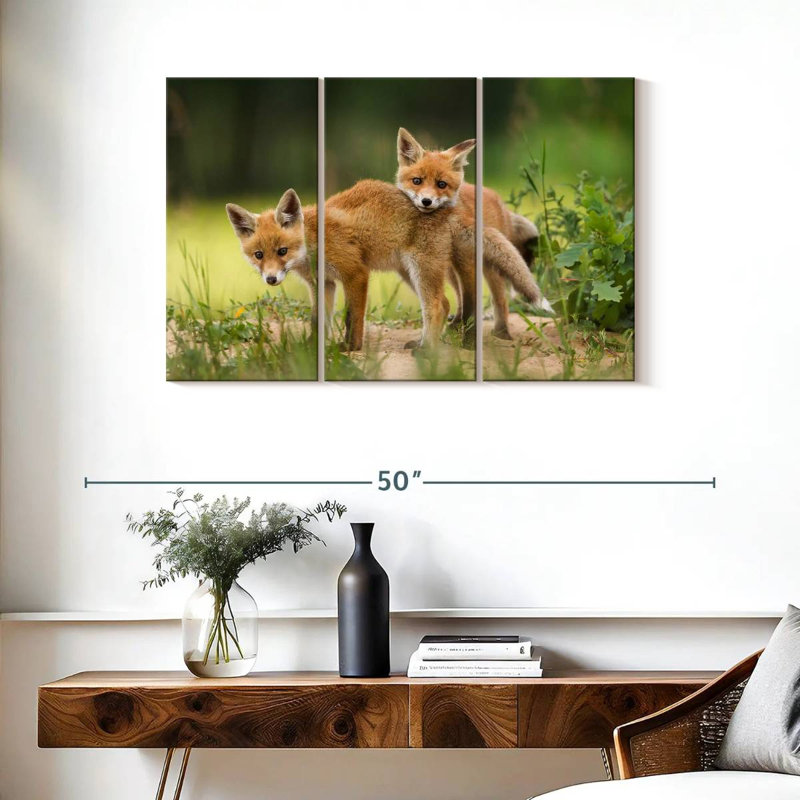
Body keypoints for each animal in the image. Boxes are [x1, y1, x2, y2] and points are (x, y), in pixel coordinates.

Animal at [395, 127, 551, 340]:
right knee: (463, 296)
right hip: (452, 269)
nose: (426, 201)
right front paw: (457, 326)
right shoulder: (452, 264)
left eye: (441, 184)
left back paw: (502, 332)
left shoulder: (466, 262)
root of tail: (498, 200)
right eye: (416, 181)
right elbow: (462, 298)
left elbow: (470, 298)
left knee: (500, 299)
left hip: (489, 266)